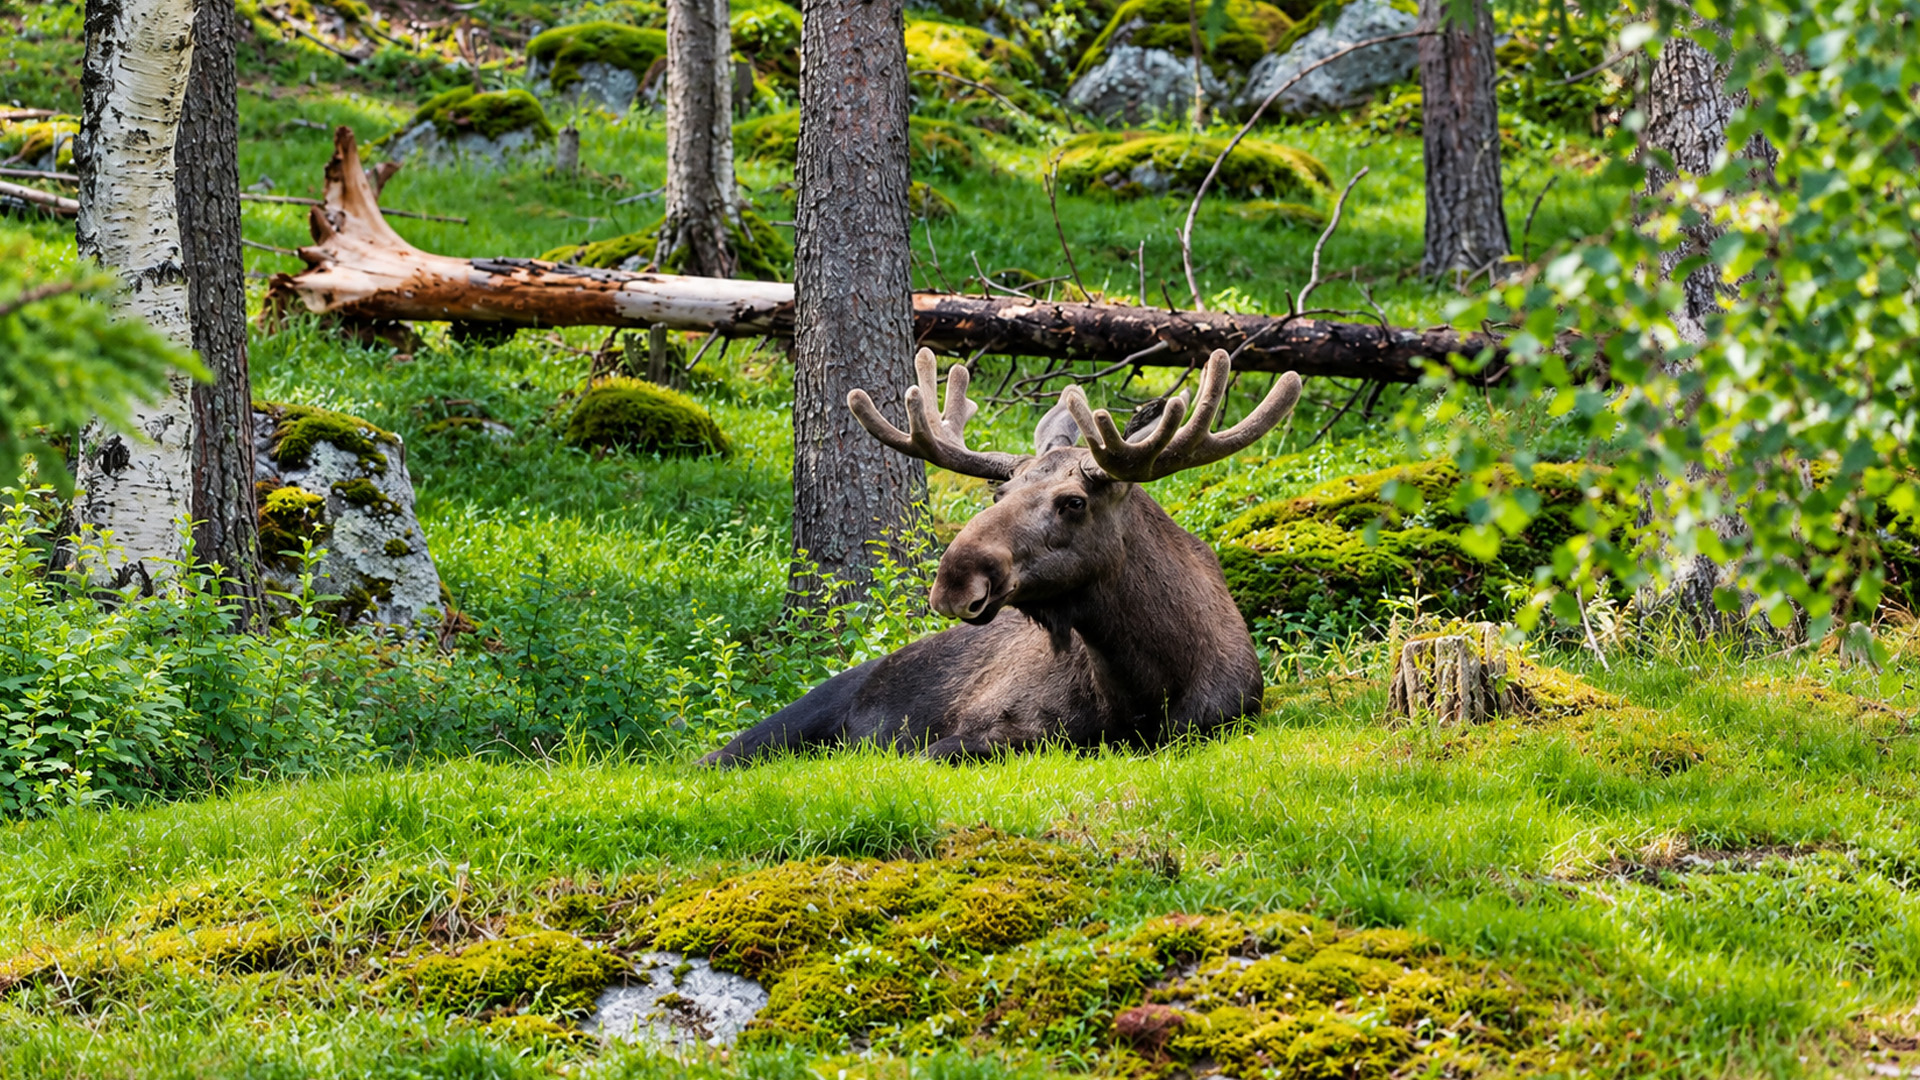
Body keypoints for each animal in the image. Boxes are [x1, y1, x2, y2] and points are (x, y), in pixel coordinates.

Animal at [700, 348, 1302, 766]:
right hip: (791, 718)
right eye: (998, 494)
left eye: (1073, 501)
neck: (1146, 684)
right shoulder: (988, 726)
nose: (954, 579)